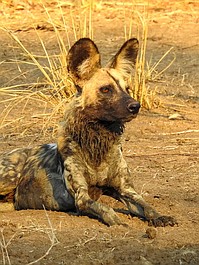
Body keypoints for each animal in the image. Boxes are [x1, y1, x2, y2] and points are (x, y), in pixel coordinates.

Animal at [0, 38, 176, 226]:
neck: (97, 145)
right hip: (8, 179)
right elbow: (106, 209)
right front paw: (119, 223)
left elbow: (147, 206)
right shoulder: (82, 197)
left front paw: (159, 217)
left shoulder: (126, 190)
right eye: (106, 89)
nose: (135, 106)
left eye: (127, 89)